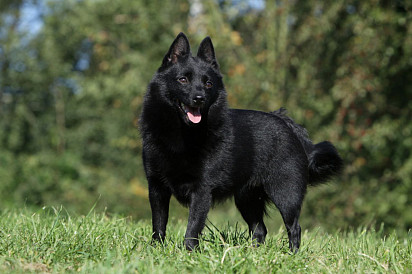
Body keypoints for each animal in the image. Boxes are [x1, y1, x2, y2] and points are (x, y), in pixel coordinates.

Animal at [140, 32, 342, 253]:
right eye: (183, 79)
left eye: (208, 84)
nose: (199, 98)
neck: (184, 134)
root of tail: (288, 125)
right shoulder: (156, 187)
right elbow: (158, 225)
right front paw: (155, 250)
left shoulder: (201, 191)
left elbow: (192, 228)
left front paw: (189, 253)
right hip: (247, 198)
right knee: (259, 229)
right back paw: (253, 254)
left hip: (286, 194)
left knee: (294, 227)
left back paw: (292, 255)